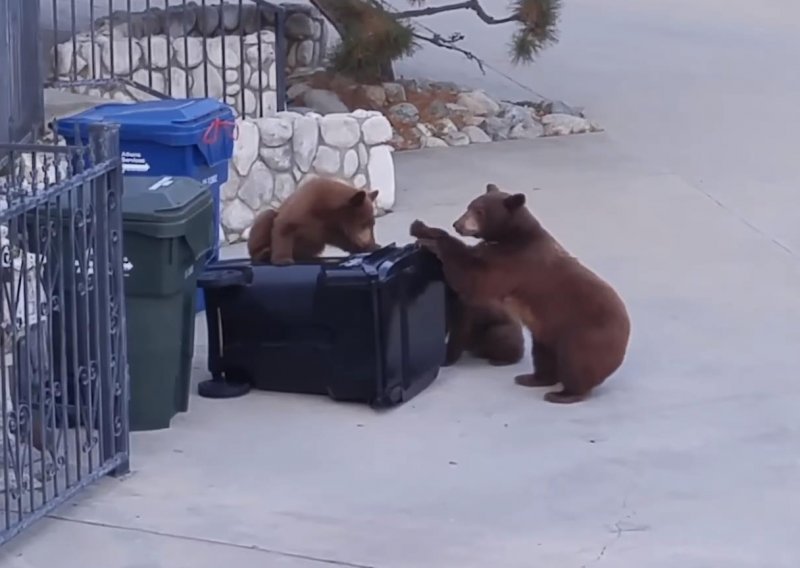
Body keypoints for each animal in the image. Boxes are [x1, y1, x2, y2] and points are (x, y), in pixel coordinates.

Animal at [412, 183, 632, 404]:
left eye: (479, 211)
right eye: (469, 206)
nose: (457, 224)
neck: (513, 236)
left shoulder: (516, 262)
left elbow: (475, 279)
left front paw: (434, 240)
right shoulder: (495, 252)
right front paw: (421, 228)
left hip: (585, 334)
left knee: (576, 362)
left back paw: (563, 394)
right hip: (546, 333)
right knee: (543, 355)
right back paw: (531, 378)